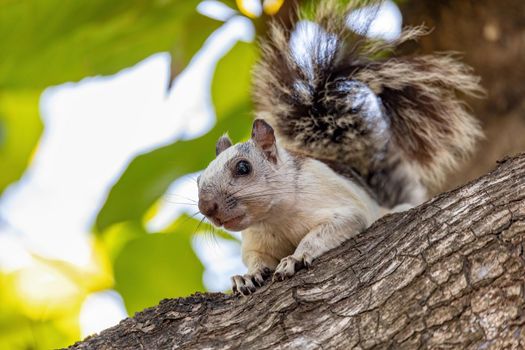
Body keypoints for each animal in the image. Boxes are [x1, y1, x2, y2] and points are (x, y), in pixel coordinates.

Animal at [195, 0, 478, 296]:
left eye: (243, 167)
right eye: (198, 180)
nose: (206, 207)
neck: (276, 218)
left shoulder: (342, 208)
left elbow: (323, 233)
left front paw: (295, 257)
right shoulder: (257, 241)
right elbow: (255, 258)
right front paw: (246, 276)